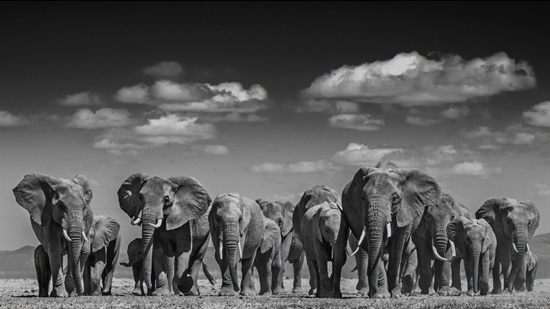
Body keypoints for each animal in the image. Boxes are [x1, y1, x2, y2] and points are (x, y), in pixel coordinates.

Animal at [342, 160, 442, 298]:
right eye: (362, 198)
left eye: (394, 198)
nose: (372, 294)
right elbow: (373, 247)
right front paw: (381, 295)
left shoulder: (405, 212)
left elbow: (396, 246)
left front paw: (395, 295)